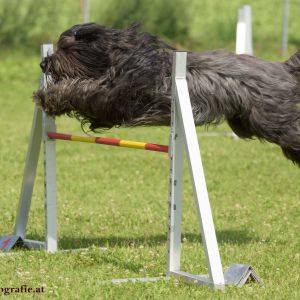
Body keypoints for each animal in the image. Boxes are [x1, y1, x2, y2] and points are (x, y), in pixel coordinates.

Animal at [34, 22, 300, 165]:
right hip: (245, 122)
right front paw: (46, 96)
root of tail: (283, 66)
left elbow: (81, 90)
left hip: (269, 118)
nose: (43, 63)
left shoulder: (116, 96)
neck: (118, 58)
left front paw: (49, 96)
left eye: (65, 49)